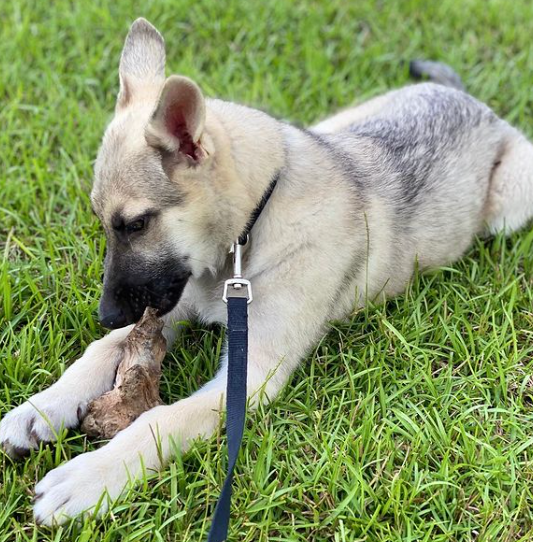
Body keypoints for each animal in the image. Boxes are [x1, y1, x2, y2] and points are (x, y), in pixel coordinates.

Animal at [3, 19, 532, 524]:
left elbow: (159, 422)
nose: (106, 315)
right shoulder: (171, 304)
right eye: (103, 221)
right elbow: (100, 352)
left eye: (136, 224)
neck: (251, 228)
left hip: (508, 205)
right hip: (333, 124)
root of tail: (467, 98)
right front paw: (40, 408)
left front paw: (90, 477)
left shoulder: (251, 375)